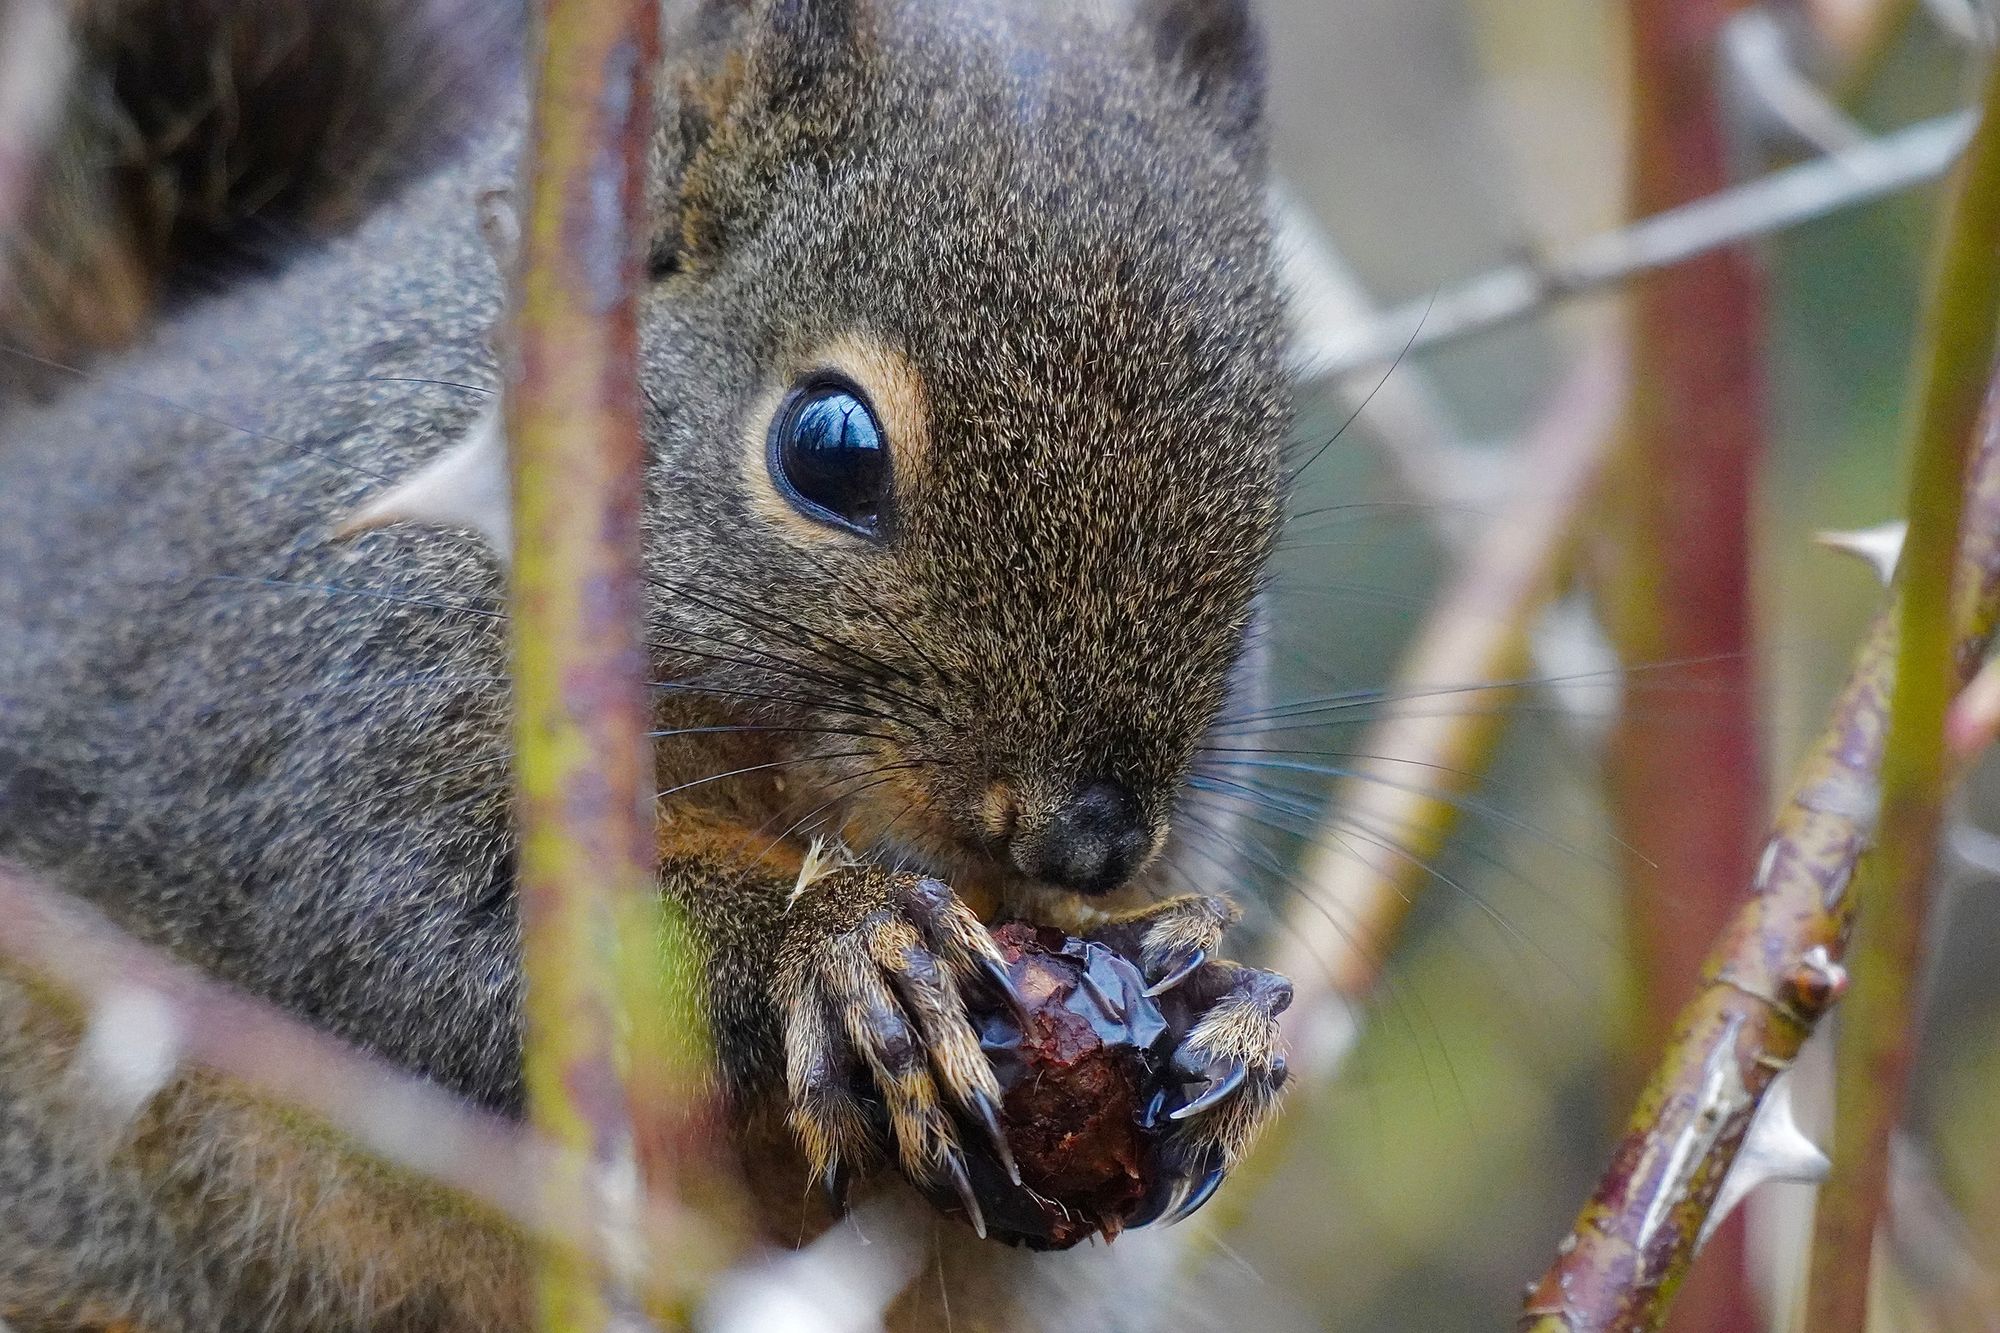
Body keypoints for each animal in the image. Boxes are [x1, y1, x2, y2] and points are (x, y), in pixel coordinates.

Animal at [0, 0, 1295, 1329]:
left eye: (1269, 509)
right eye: (827, 449)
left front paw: (1221, 1007)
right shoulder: (323, 697)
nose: (1086, 841)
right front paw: (844, 943)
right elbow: (448, 927)